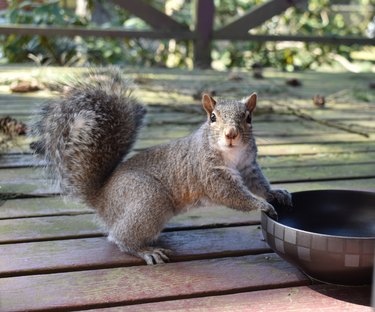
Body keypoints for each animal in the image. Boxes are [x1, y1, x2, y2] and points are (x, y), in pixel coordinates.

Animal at [30, 67, 292, 264]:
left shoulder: (248, 166)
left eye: (249, 118)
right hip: (148, 198)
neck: (231, 154)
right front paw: (262, 204)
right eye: (213, 117)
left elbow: (257, 183)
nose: (231, 134)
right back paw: (145, 250)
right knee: (119, 237)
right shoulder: (208, 172)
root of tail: (101, 197)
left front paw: (275, 193)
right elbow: (231, 194)